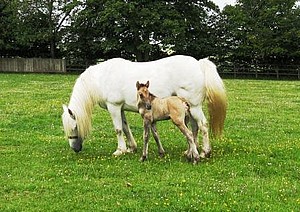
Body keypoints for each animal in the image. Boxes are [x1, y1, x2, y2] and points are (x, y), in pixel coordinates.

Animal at [62, 54, 227, 157]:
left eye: (74, 126)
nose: (75, 148)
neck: (101, 78)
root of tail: (199, 64)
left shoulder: (113, 106)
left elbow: (118, 129)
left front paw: (120, 150)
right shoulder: (120, 108)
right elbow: (125, 128)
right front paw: (131, 148)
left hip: (194, 107)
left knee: (203, 125)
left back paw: (205, 152)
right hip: (189, 109)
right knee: (194, 128)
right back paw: (190, 151)